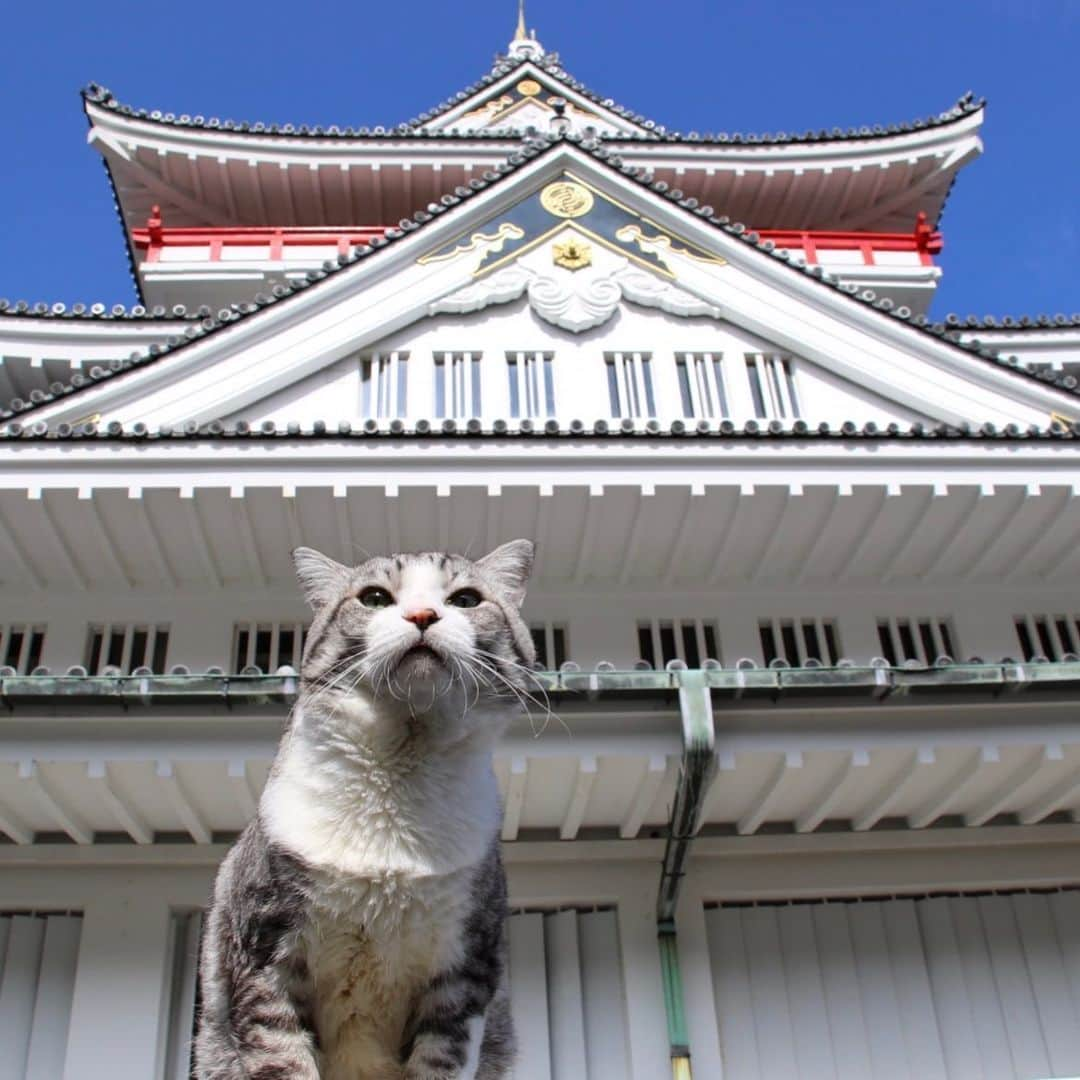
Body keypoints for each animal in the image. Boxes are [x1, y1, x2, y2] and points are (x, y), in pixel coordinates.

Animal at [193, 544, 535, 1075]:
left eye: (466, 599)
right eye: (374, 598)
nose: (422, 614)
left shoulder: (466, 972)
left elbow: (442, 1060)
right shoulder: (262, 954)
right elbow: (282, 1058)